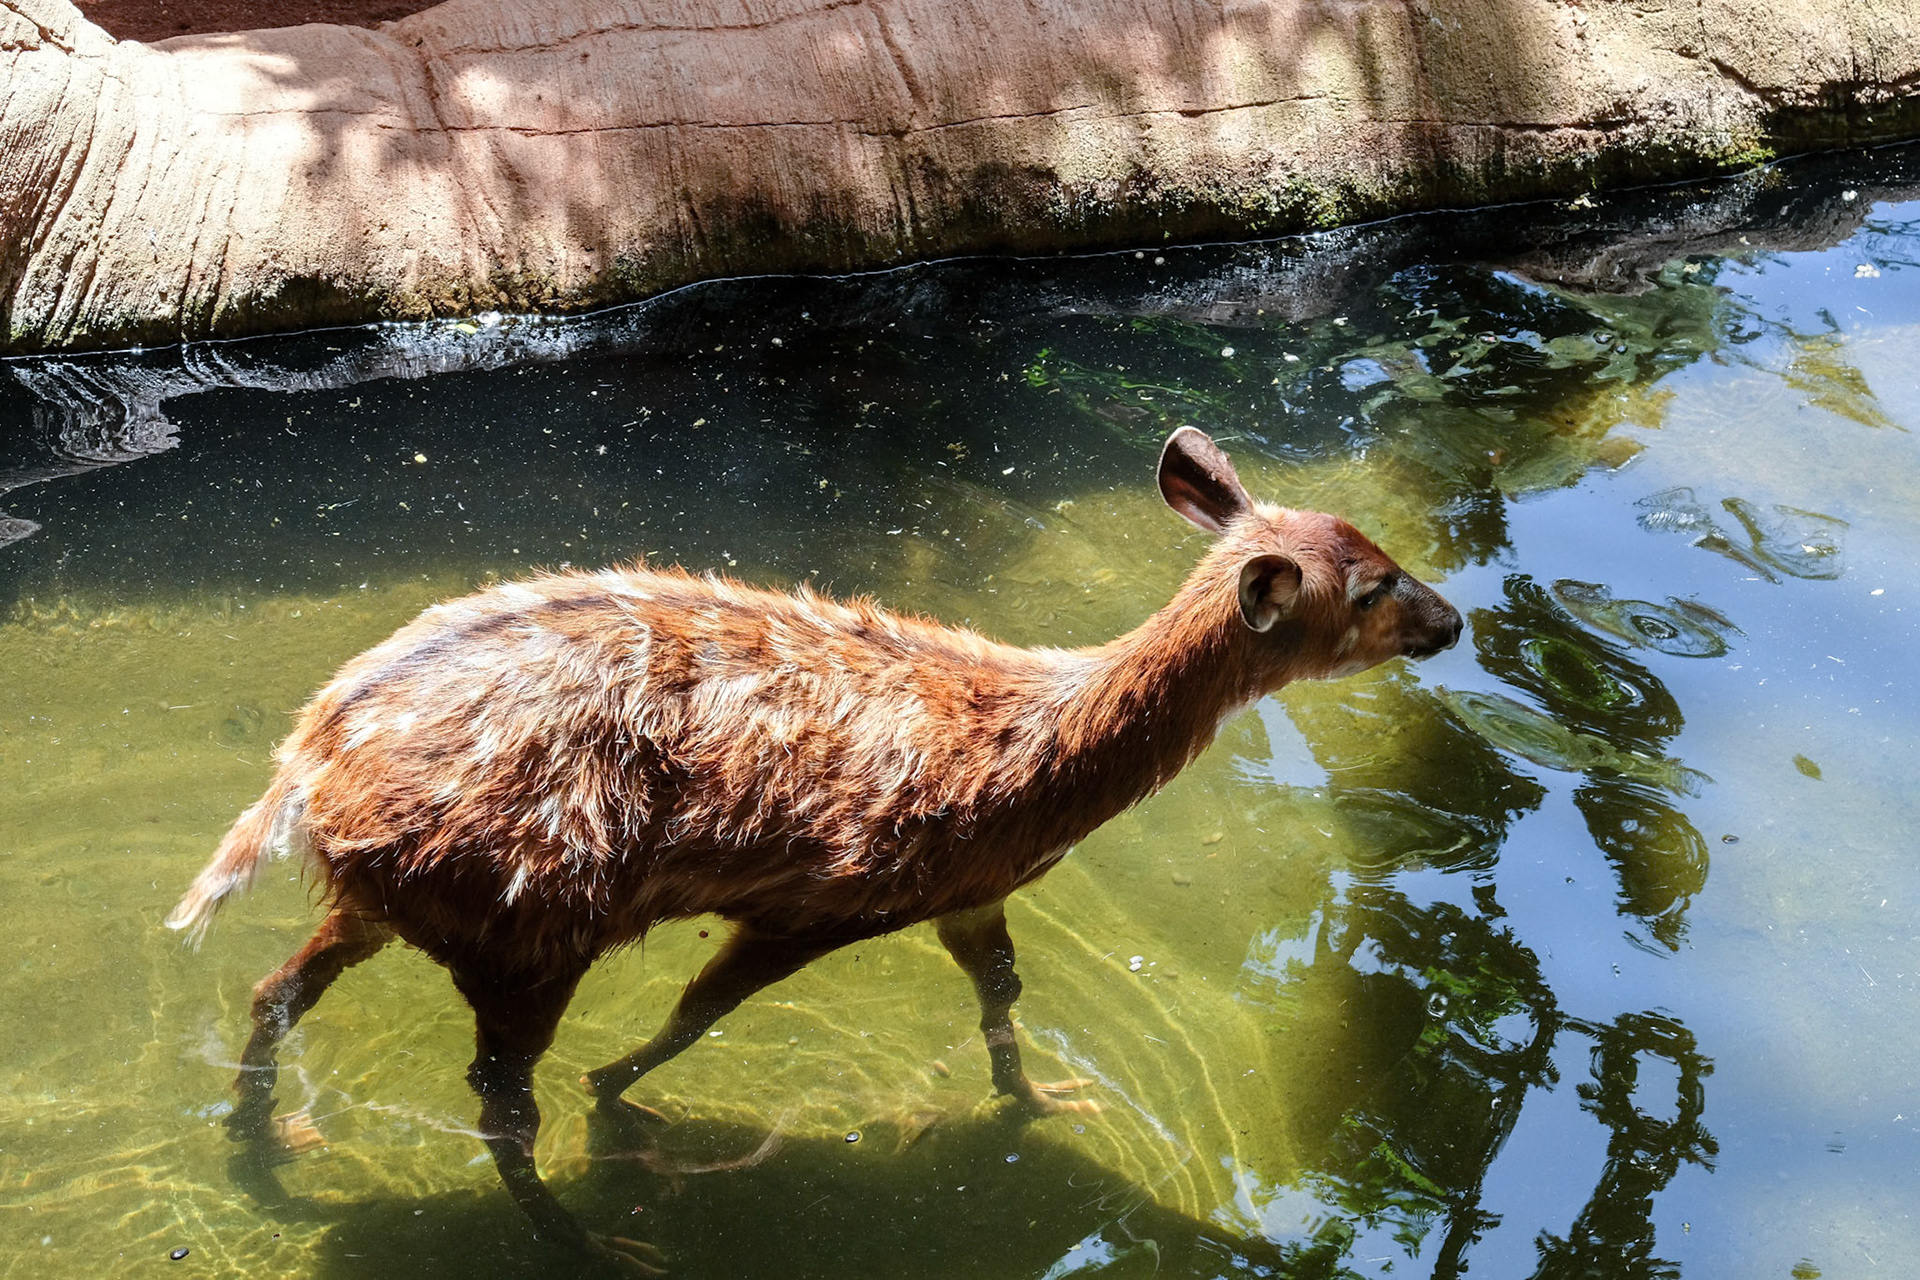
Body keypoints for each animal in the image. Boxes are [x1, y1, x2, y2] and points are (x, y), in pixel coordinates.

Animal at [167, 427, 1460, 1271]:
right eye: (1370, 585)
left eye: (1377, 547)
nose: (1452, 617)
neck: (1027, 761)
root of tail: (310, 760)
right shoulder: (829, 901)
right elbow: (698, 1010)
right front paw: (621, 1101)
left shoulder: (970, 892)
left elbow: (1002, 993)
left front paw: (1044, 1099)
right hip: (529, 921)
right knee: (497, 1096)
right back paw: (594, 1239)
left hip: (397, 900)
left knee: (276, 985)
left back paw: (261, 1138)